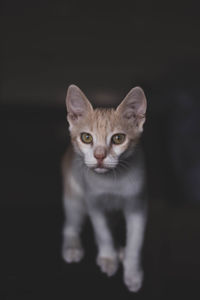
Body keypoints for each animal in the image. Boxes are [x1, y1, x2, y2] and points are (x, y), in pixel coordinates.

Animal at [61, 84, 148, 292]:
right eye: (86, 137)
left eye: (118, 138)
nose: (99, 156)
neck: (111, 180)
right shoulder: (94, 202)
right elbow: (102, 231)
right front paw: (108, 257)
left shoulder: (138, 205)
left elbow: (135, 242)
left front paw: (133, 272)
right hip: (74, 197)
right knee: (70, 225)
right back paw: (72, 246)